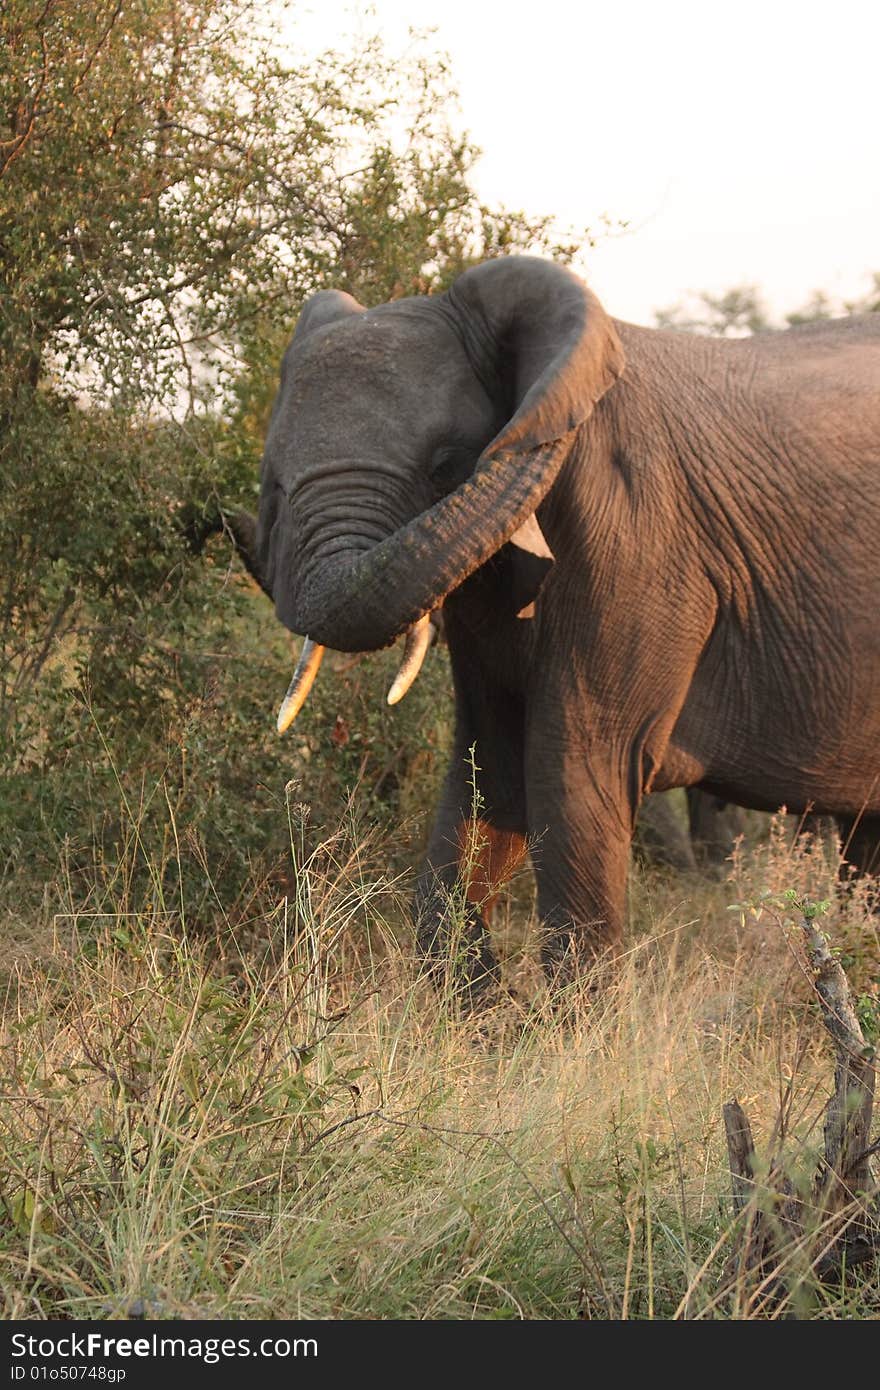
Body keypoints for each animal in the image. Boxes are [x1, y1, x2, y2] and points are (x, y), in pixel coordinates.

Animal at [234, 258, 878, 1000]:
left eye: (445, 464)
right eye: (273, 483)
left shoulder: (637, 541)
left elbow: (573, 772)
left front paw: (575, 1027)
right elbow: (490, 772)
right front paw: (478, 1014)